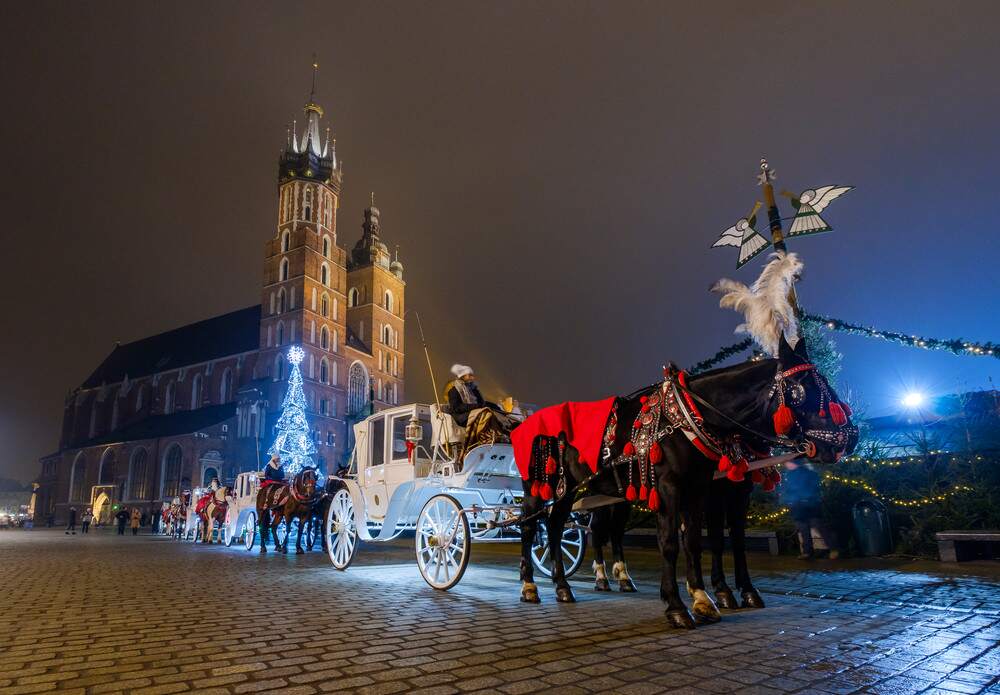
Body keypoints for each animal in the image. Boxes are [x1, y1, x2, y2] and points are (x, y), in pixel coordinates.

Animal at [520, 334, 856, 628]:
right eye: (803, 389)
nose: (849, 439)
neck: (691, 417)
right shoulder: (673, 488)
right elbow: (673, 542)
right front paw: (679, 605)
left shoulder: (705, 487)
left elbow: (703, 541)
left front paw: (706, 598)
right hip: (543, 488)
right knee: (533, 527)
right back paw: (532, 586)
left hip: (592, 493)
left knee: (571, 529)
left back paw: (577, 583)